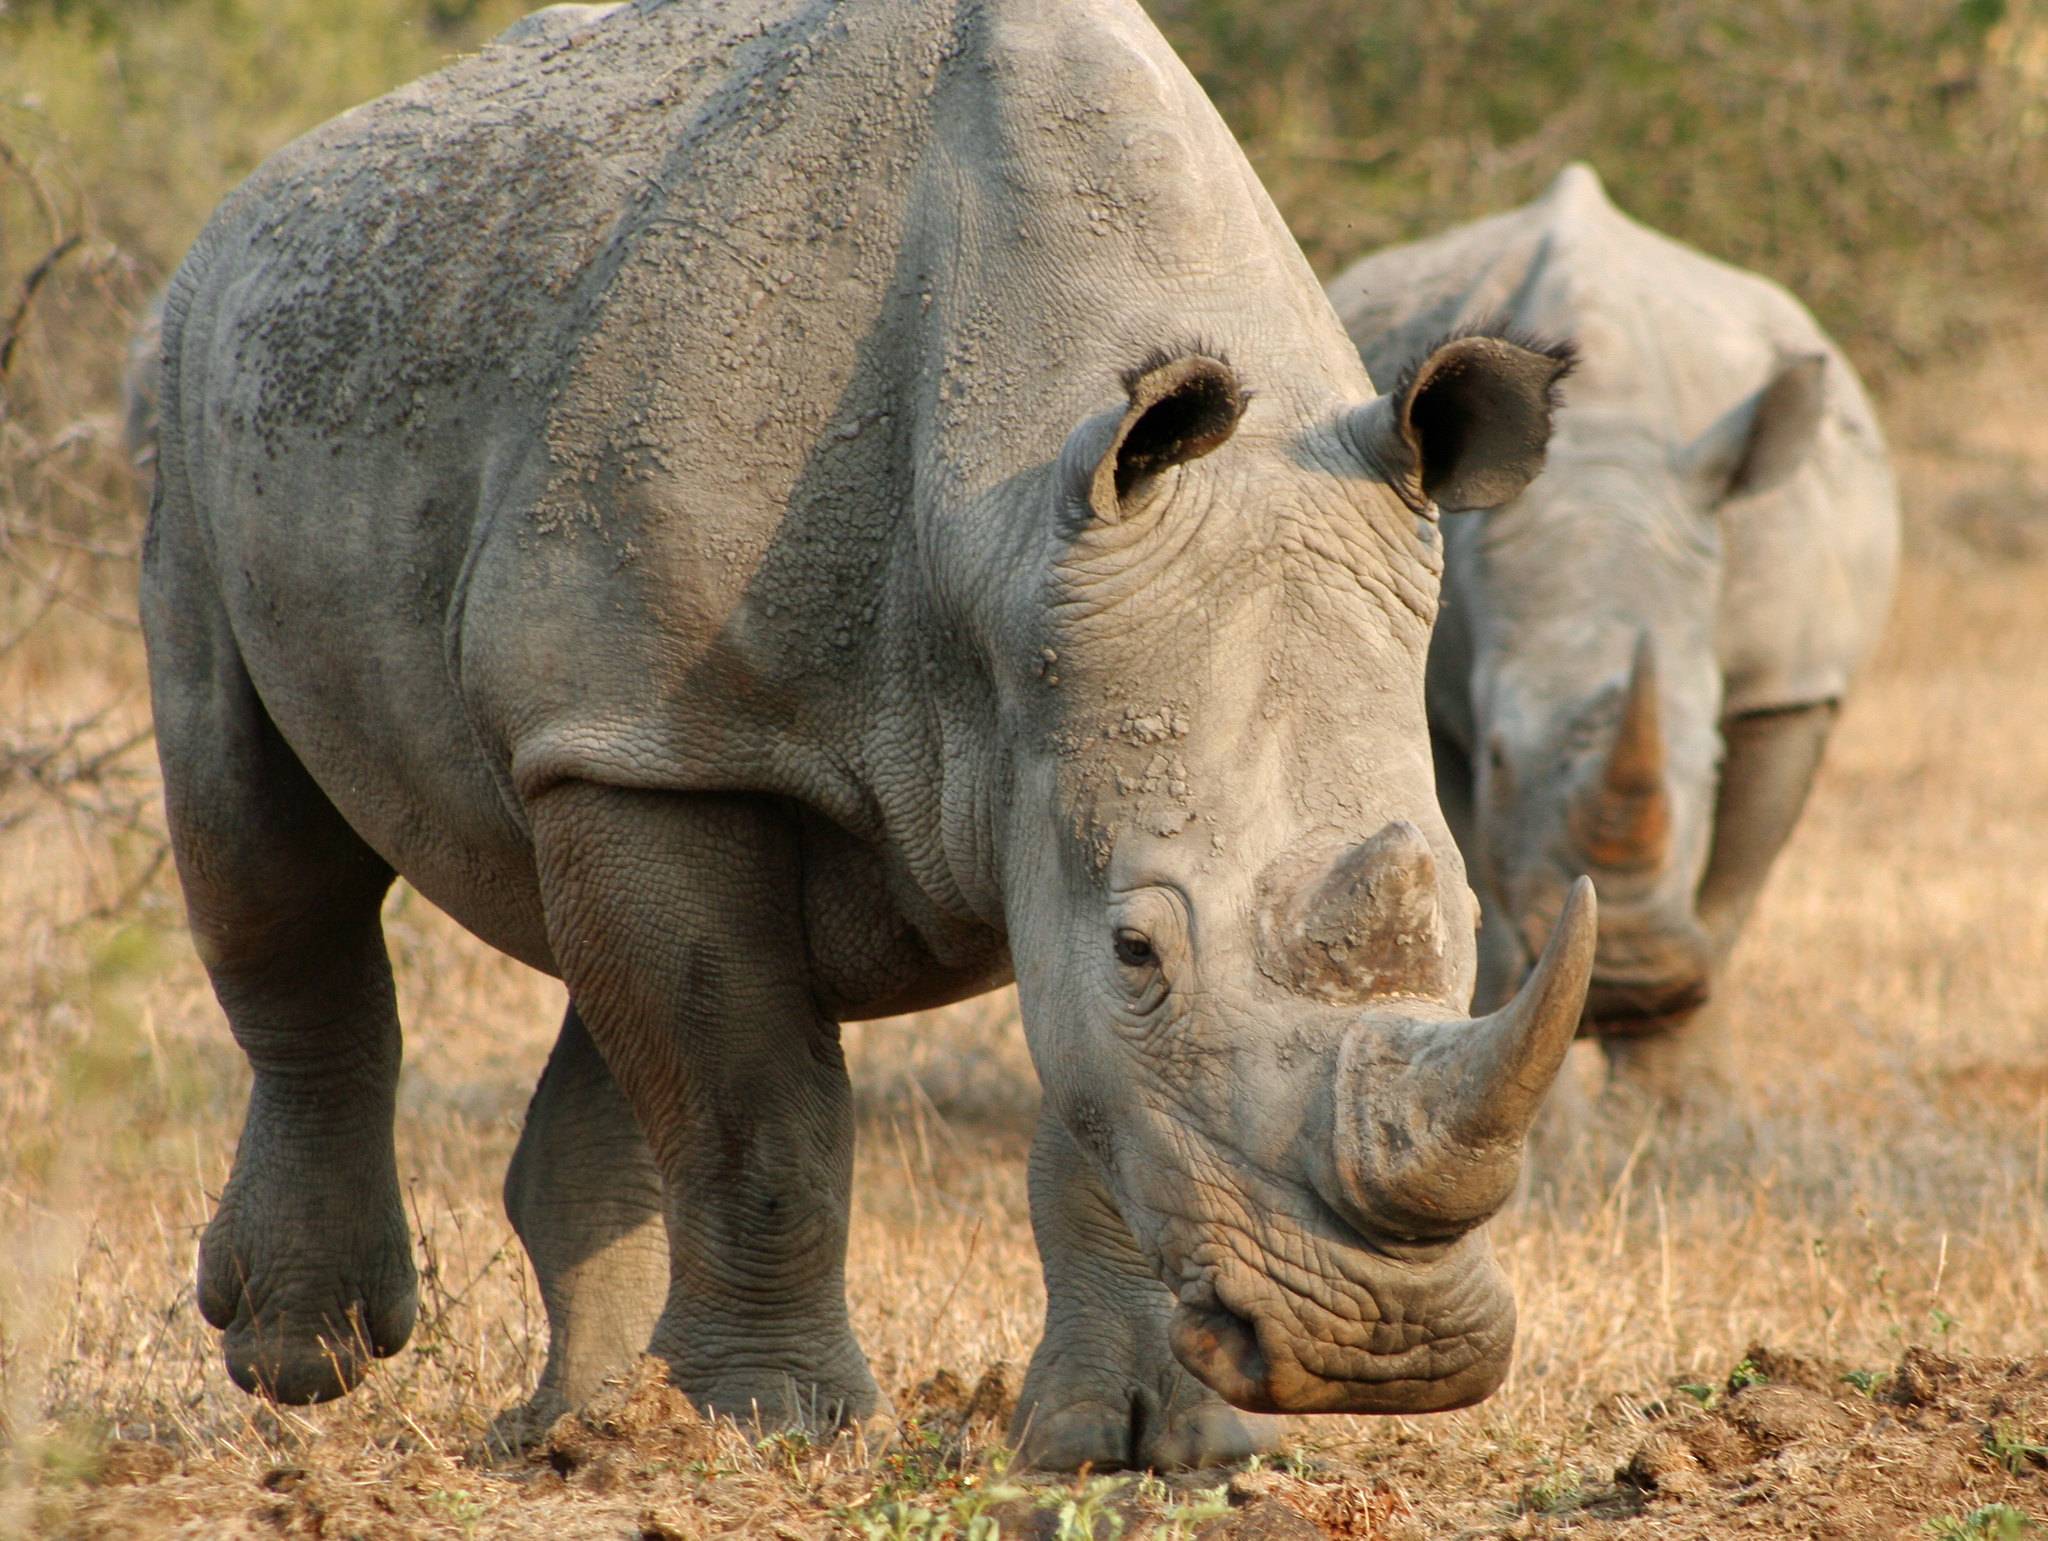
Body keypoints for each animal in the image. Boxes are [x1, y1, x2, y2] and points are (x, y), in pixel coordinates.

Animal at [143, 0, 1595, 1471]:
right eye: (1139, 951)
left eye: (1466, 925)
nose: (1388, 1348)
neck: (1006, 514)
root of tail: (275, 180)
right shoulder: (668, 729)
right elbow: (758, 1109)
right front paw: (776, 1423)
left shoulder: (1020, 755)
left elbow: (1091, 1114)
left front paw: (1136, 1446)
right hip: (201, 361)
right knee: (264, 848)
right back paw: (305, 1355)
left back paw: (578, 1430)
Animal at [1328, 164, 1898, 1093]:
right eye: (1497, 760)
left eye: (1710, 761)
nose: (1627, 986)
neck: (1600, 465)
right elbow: (1479, 890)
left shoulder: (1790, 682)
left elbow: (1729, 896)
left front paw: (1680, 1113)